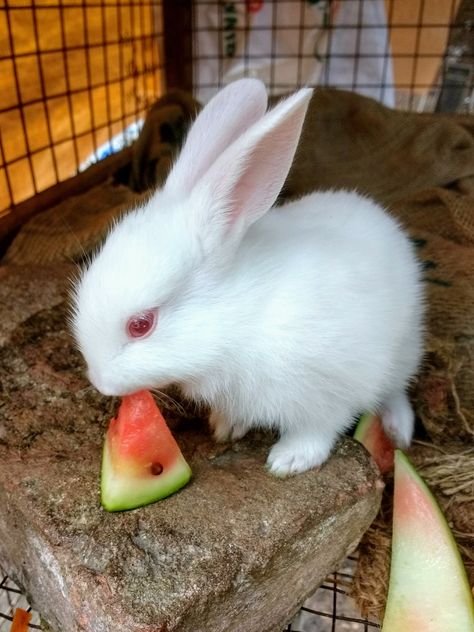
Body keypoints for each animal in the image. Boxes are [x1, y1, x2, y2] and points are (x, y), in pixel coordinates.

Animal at [72, 78, 424, 474]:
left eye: (141, 325)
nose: (100, 382)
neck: (238, 321)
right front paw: (226, 427)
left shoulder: (328, 388)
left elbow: (318, 427)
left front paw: (289, 460)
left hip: (404, 349)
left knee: (396, 389)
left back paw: (398, 429)